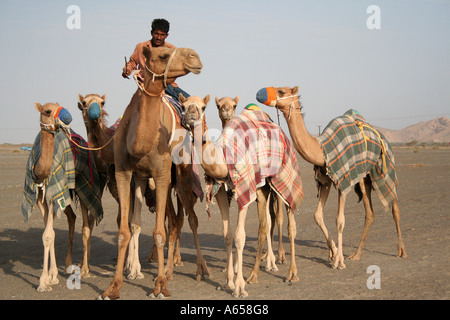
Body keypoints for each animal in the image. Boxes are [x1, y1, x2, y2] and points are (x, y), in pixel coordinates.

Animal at [24, 103, 102, 292]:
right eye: (47, 110)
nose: (67, 117)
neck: (41, 173)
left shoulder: (54, 194)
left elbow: (49, 234)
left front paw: (43, 281)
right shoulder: (40, 196)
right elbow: (48, 233)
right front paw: (50, 278)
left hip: (82, 186)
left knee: (86, 226)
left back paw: (85, 270)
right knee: (72, 217)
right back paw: (68, 264)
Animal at [99, 45, 203, 300]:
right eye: (163, 55)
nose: (195, 57)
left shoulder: (162, 173)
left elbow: (158, 233)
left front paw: (159, 286)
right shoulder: (124, 173)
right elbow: (123, 232)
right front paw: (113, 287)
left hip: (183, 174)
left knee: (189, 219)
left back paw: (197, 269)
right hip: (148, 179)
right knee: (173, 220)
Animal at [179, 94, 302, 298]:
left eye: (203, 107)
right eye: (183, 105)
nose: (190, 114)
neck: (222, 156)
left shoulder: (245, 191)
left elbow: (239, 237)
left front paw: (239, 286)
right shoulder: (221, 192)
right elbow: (227, 235)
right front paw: (227, 282)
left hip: (283, 176)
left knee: (288, 221)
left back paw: (290, 273)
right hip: (263, 187)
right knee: (266, 223)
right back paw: (259, 270)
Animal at [256, 86, 408, 268]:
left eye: (282, 91)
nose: (260, 93)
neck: (322, 150)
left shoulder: (343, 180)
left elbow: (340, 220)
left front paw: (338, 261)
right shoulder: (325, 180)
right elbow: (317, 215)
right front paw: (334, 251)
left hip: (384, 168)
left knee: (394, 206)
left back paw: (401, 250)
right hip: (364, 178)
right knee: (370, 213)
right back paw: (356, 254)